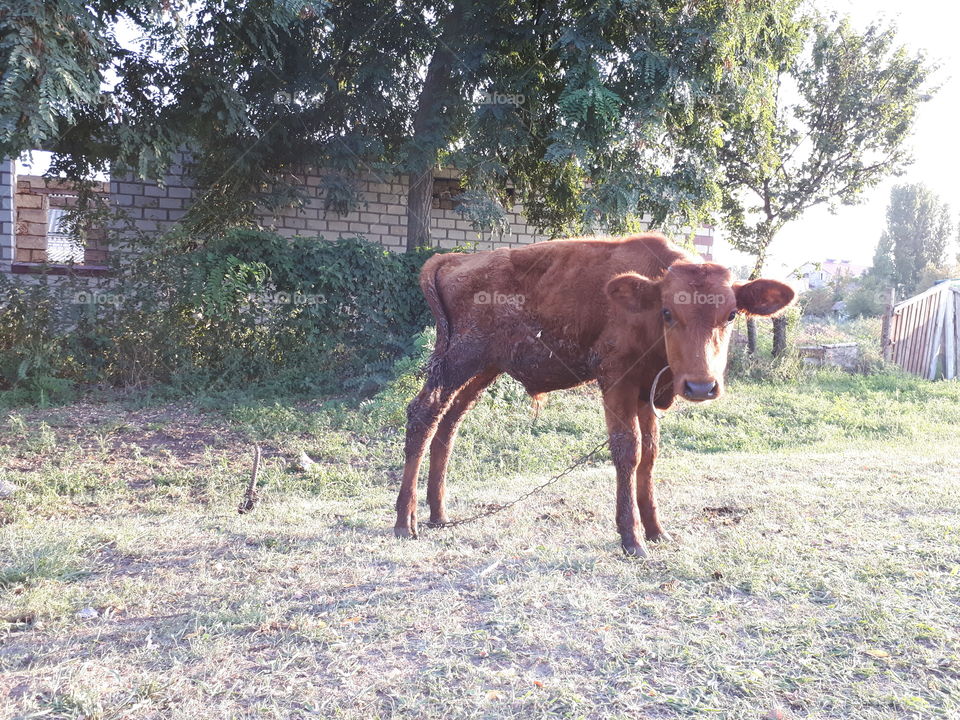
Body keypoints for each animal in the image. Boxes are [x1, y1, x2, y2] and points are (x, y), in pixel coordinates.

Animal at [394, 233, 794, 556]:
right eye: (667, 312)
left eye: (731, 315)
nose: (700, 386)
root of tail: (453, 259)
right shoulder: (616, 380)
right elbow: (628, 451)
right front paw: (632, 538)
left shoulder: (646, 391)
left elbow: (650, 454)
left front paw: (656, 530)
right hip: (457, 361)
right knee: (423, 415)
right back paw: (404, 521)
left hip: (483, 369)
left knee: (449, 422)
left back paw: (438, 514)